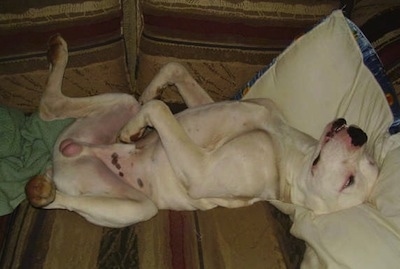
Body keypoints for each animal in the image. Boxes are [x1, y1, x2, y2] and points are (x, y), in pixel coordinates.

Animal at [24, 34, 378, 227]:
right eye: (372, 161)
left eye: (349, 182)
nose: (360, 135)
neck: (291, 145)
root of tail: (64, 161)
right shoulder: (214, 102)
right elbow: (173, 70)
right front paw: (151, 91)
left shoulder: (201, 170)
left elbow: (160, 108)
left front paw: (137, 127)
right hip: (118, 104)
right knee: (52, 105)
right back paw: (59, 54)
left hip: (134, 207)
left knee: (63, 199)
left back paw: (43, 190)